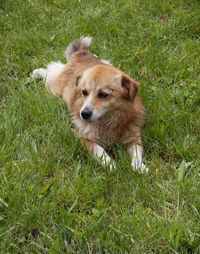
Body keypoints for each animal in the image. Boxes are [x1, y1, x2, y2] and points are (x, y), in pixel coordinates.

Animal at [30, 36, 148, 173]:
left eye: (103, 94)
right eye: (84, 92)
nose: (84, 114)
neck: (107, 120)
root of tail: (81, 53)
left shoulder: (133, 134)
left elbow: (137, 151)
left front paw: (139, 166)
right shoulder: (81, 136)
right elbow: (98, 149)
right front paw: (109, 163)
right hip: (54, 87)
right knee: (51, 70)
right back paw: (38, 73)